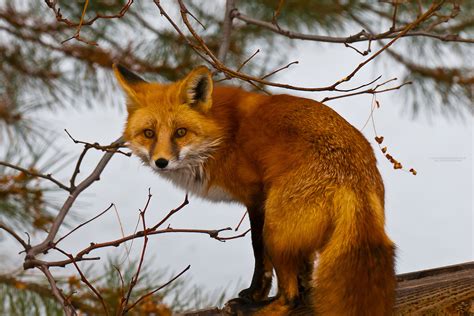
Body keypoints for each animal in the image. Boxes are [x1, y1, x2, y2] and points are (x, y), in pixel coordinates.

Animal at [114, 65, 396, 316]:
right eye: (149, 133)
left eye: (180, 132)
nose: (161, 162)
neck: (223, 136)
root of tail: (354, 182)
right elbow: (304, 274)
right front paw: (293, 288)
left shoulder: (256, 198)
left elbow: (258, 254)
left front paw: (255, 295)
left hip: (276, 230)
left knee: (290, 298)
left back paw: (256, 310)